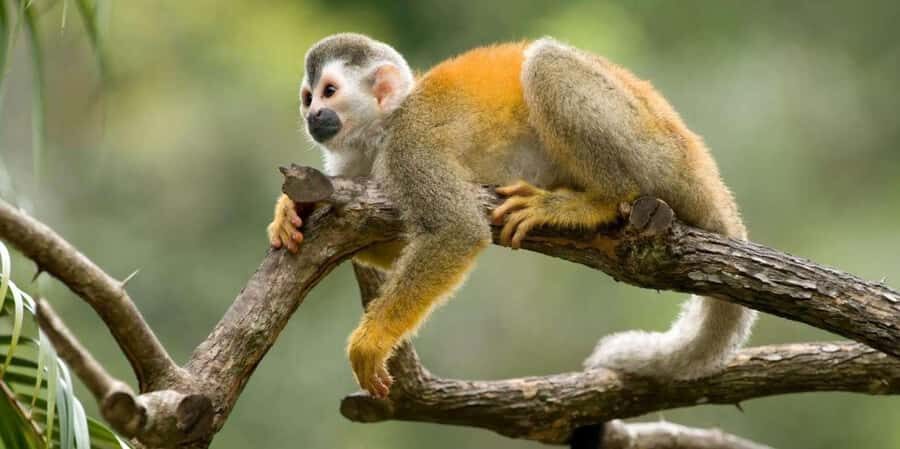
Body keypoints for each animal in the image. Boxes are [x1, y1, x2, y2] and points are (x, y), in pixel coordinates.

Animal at [267, 33, 757, 399]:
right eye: (307, 97)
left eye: (330, 92)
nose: (313, 116)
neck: (382, 130)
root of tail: (699, 162)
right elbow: (392, 242)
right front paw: (292, 210)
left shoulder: (409, 147)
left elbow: (457, 231)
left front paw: (371, 342)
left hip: (655, 149)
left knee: (546, 64)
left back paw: (597, 201)